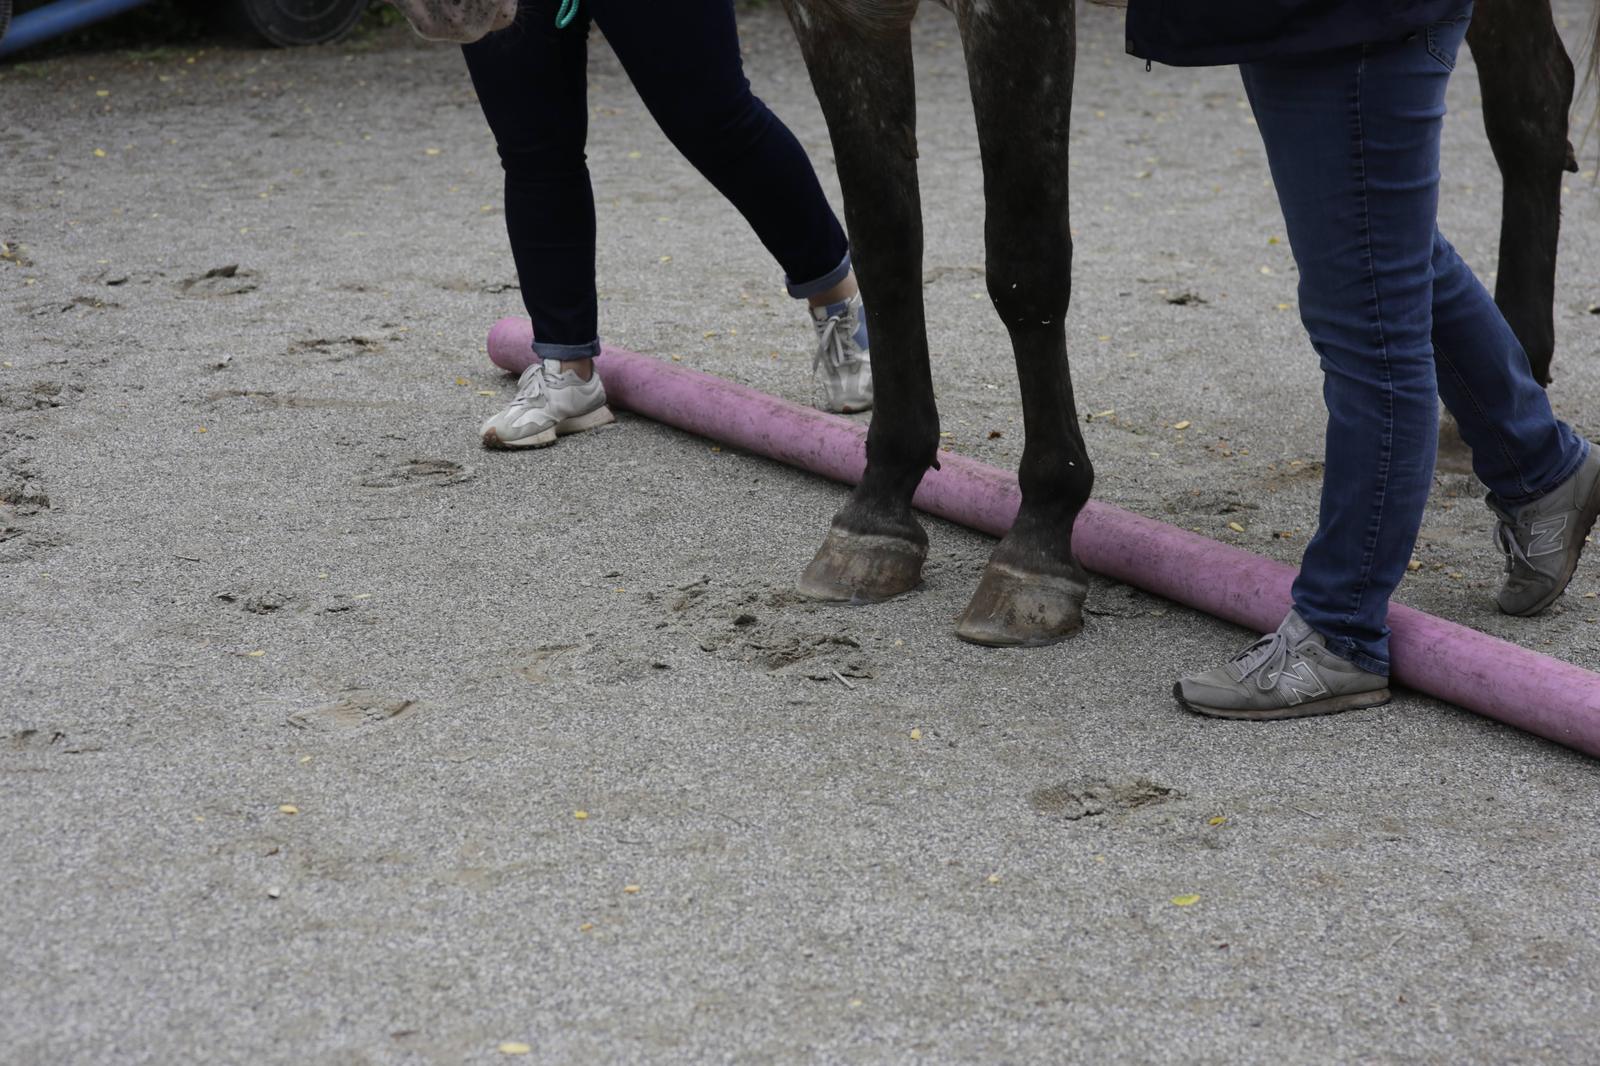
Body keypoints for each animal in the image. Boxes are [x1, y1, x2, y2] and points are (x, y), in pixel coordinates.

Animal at [386, 0, 1597, 647]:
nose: (446, 12)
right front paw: (879, 509)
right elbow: (884, 243)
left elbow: (1022, 263)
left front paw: (1040, 537)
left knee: (1526, 102)